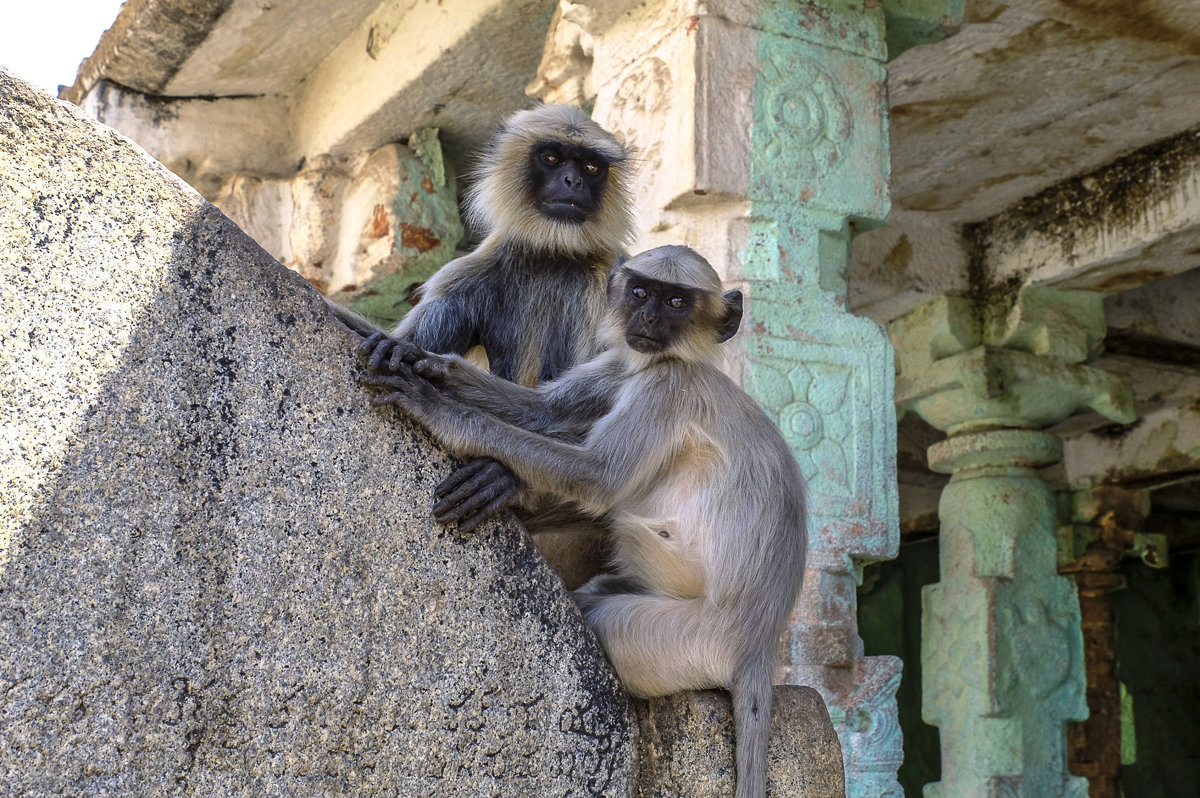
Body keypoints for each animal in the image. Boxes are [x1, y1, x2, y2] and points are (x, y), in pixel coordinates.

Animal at [333, 104, 633, 566]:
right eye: (552, 158)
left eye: (590, 166)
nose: (574, 182)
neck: (554, 256)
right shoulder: (472, 271)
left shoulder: (617, 274)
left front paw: (503, 475)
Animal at [364, 244, 811, 796]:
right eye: (640, 292)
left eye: (677, 302)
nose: (647, 318)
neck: (679, 360)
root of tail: (759, 645)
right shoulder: (627, 363)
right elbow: (540, 408)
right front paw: (423, 362)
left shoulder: (667, 385)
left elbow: (595, 478)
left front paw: (439, 411)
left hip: (689, 641)